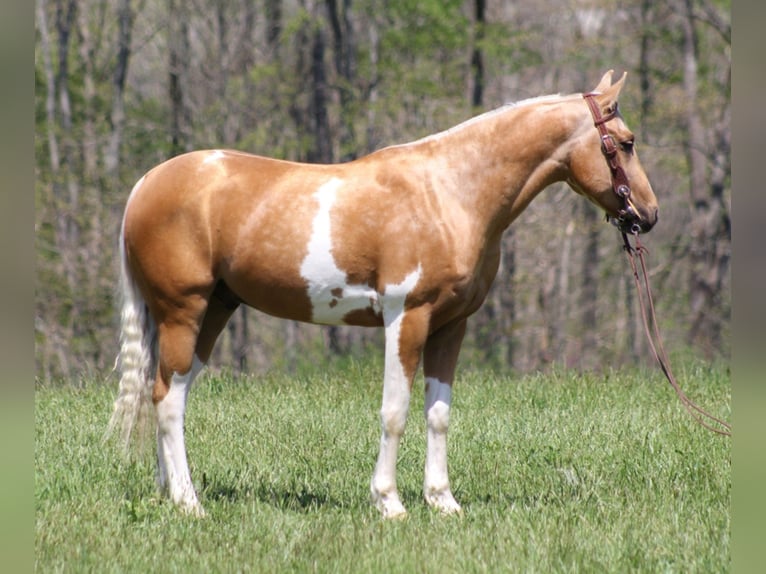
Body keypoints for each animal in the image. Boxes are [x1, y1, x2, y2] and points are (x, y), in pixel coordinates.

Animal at [108, 70, 660, 520]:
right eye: (626, 143)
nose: (649, 215)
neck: (450, 192)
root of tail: (144, 184)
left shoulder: (451, 325)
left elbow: (438, 414)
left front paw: (442, 501)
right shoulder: (406, 317)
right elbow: (394, 411)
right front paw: (389, 502)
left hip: (215, 310)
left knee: (169, 391)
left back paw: (170, 492)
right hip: (184, 310)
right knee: (168, 399)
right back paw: (189, 502)